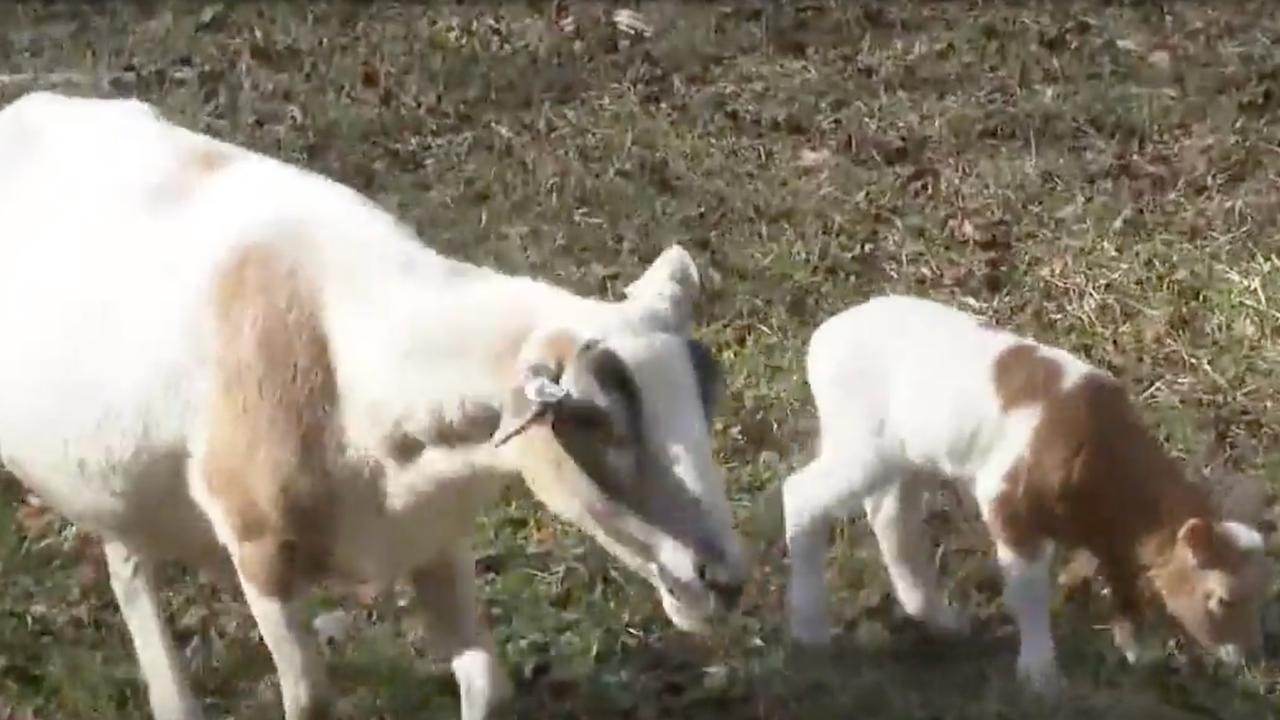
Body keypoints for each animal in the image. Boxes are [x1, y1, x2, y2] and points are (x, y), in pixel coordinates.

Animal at [0, 89, 747, 717]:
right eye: (592, 419)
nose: (724, 581)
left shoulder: (433, 536)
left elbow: (487, 686)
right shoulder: (261, 555)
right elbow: (310, 703)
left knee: (127, 564)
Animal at [783, 293, 1274, 691]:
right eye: (1224, 598)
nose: (1250, 655)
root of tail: (825, 335)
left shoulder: (1110, 532)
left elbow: (1123, 580)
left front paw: (1137, 651)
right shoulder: (1007, 502)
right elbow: (1029, 590)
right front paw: (1041, 675)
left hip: (909, 454)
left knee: (890, 515)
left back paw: (937, 617)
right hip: (861, 443)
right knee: (802, 494)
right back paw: (809, 628)